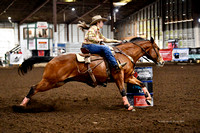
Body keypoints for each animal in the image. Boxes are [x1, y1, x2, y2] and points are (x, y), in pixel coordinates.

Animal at [17, 36, 164, 111]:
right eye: (157, 48)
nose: (162, 62)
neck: (124, 54)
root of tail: (52, 59)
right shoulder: (119, 76)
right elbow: (122, 90)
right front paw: (128, 106)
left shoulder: (128, 77)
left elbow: (141, 83)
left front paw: (148, 98)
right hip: (49, 81)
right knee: (33, 88)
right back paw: (21, 105)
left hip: (57, 82)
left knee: (34, 88)